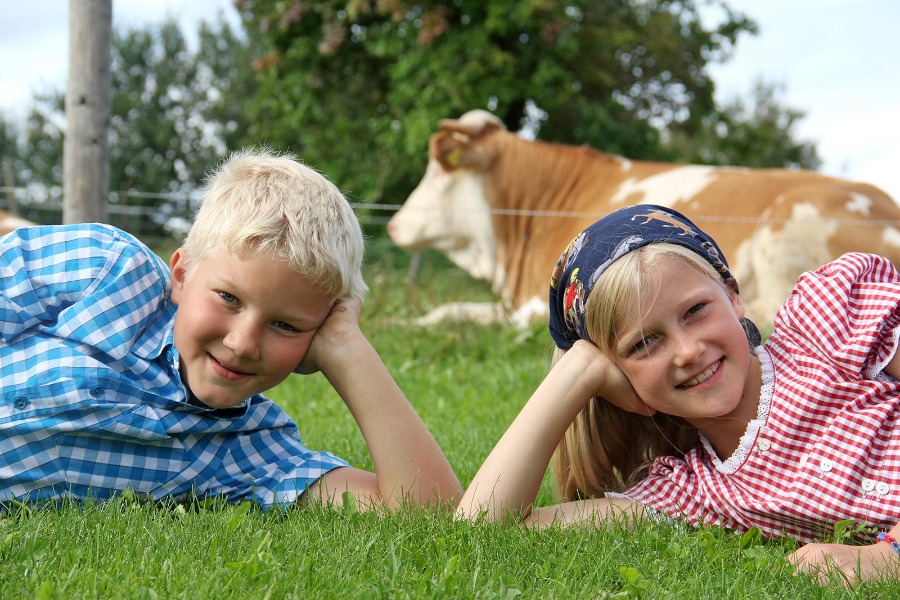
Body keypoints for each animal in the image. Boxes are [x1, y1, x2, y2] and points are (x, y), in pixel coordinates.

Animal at [387, 109, 900, 329]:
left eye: (438, 167)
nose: (393, 224)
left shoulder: (533, 304)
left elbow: (456, 311)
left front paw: (402, 325)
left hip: (785, 224)